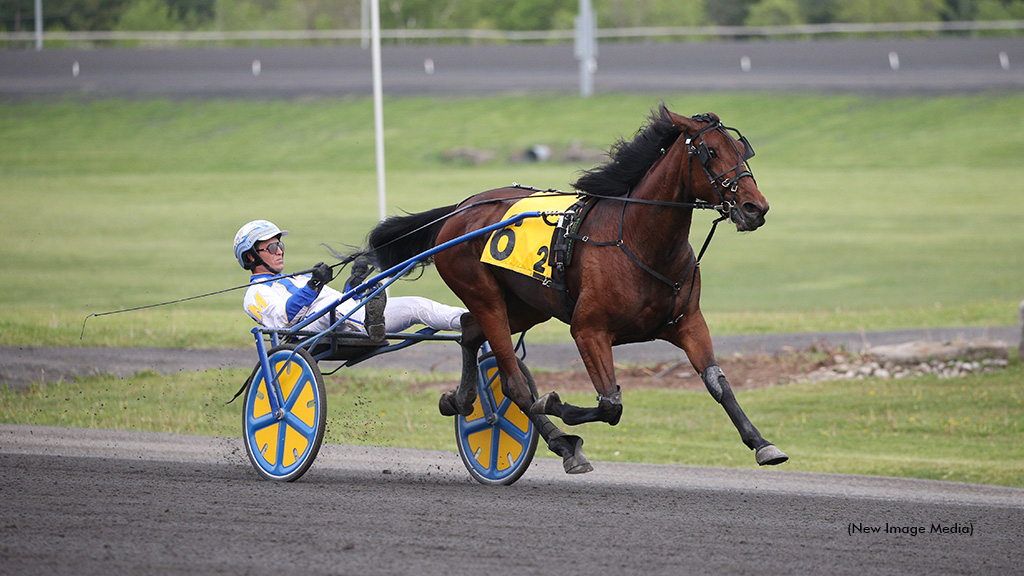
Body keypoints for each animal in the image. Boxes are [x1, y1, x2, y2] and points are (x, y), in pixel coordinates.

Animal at [364, 104, 786, 471]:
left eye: (742, 150)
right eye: (710, 152)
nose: (755, 208)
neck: (637, 239)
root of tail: (460, 209)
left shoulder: (687, 322)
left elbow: (718, 383)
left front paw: (763, 443)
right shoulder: (588, 329)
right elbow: (610, 404)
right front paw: (554, 403)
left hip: (527, 306)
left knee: (469, 330)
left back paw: (460, 399)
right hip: (486, 297)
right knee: (514, 383)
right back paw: (562, 443)